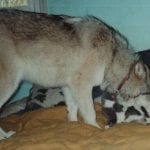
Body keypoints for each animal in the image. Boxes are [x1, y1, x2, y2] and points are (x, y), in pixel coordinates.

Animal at [0, 9, 150, 130]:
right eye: (148, 92)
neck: (111, 57)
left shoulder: (69, 87)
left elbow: (72, 110)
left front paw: (73, 125)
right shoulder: (82, 86)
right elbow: (90, 114)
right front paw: (96, 129)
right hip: (10, 85)